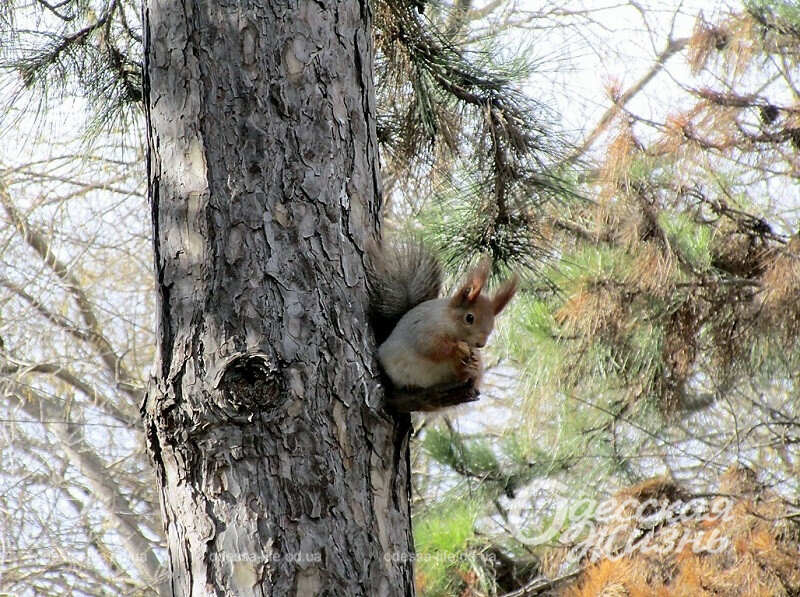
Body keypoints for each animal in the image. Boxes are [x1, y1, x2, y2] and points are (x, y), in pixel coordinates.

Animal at [364, 240, 516, 412]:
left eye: (492, 325)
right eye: (469, 318)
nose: (481, 344)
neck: (449, 323)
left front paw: (472, 363)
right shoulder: (424, 329)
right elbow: (433, 347)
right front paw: (458, 349)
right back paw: (410, 386)